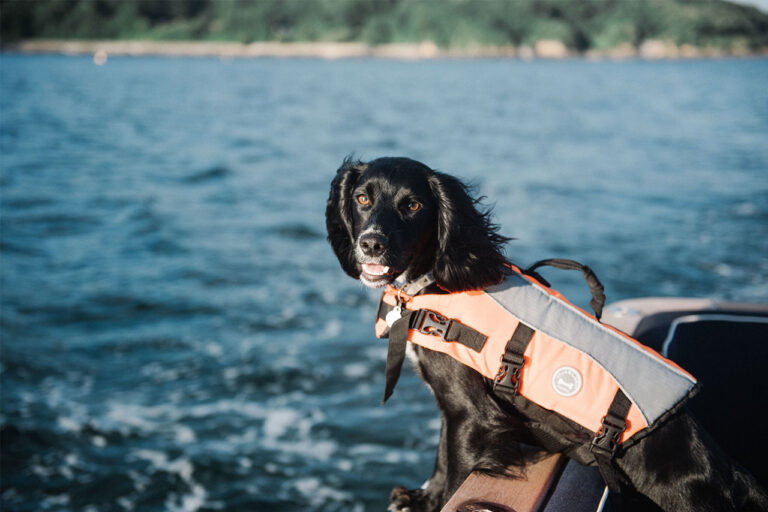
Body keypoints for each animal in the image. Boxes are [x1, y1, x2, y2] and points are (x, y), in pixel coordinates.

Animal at [326, 157, 768, 512]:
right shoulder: (453, 408)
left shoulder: (472, 416)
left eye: (414, 206)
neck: (435, 280)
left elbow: (455, 470)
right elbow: (440, 458)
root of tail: (728, 474)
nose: (371, 244)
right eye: (362, 198)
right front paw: (422, 499)